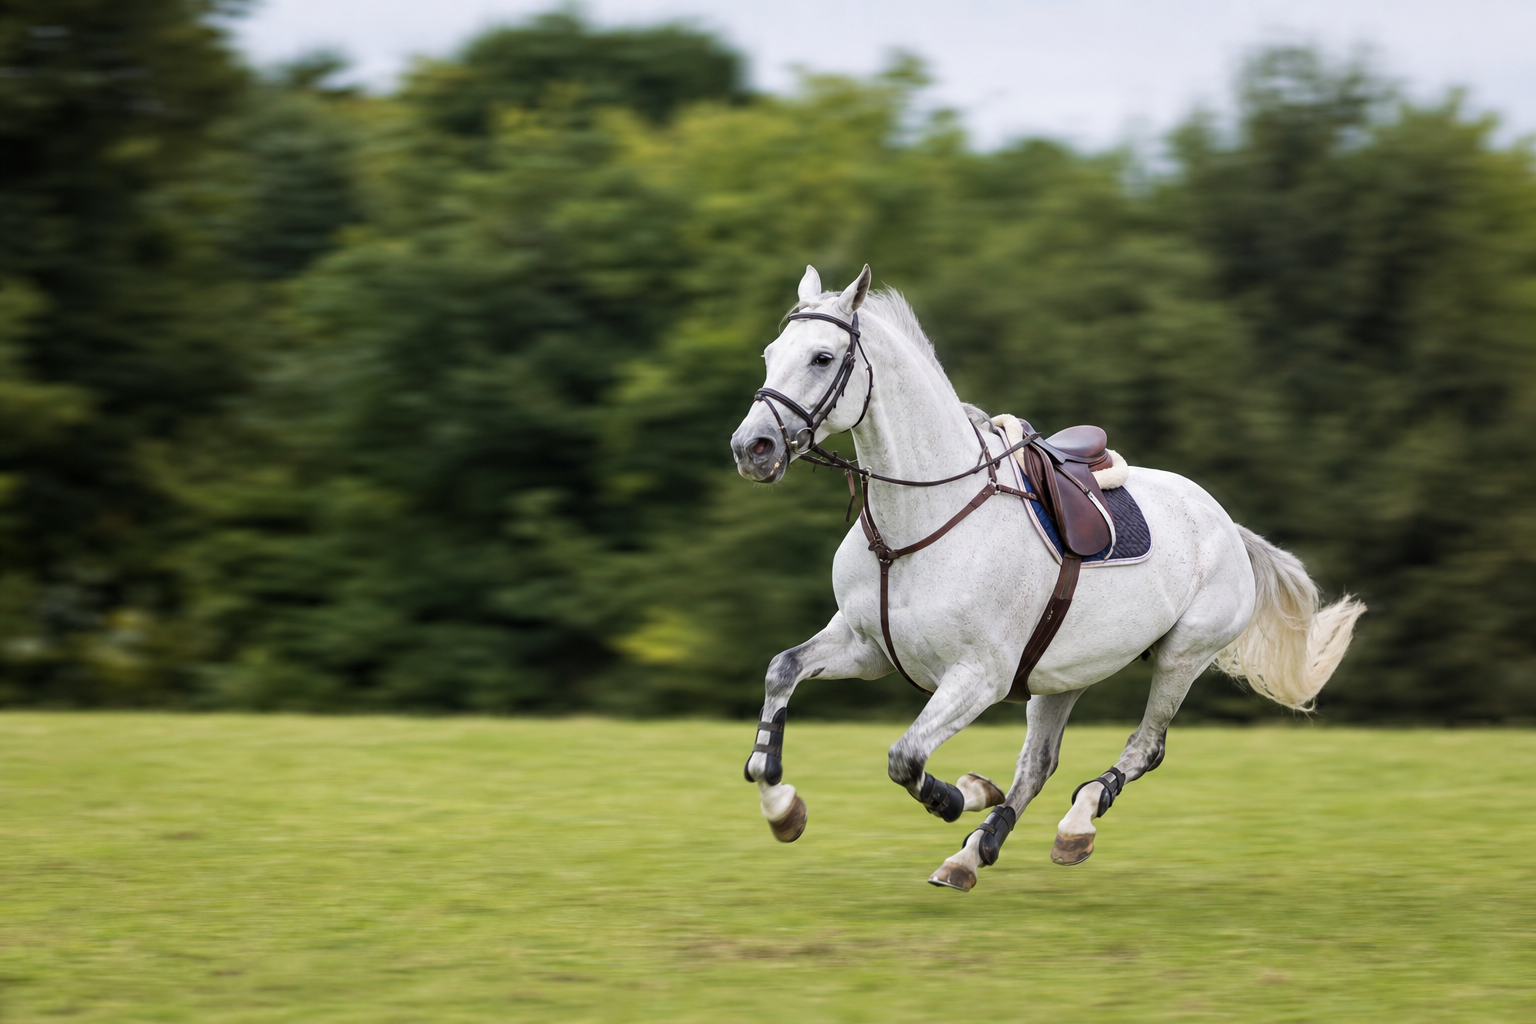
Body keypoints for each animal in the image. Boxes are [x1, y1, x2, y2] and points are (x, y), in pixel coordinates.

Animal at [730, 264, 1365, 892]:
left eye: (822, 358)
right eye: (770, 353)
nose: (751, 448)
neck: (916, 526)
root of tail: (1227, 524)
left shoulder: (978, 676)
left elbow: (905, 758)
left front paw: (957, 796)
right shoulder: (868, 648)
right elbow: (781, 672)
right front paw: (782, 807)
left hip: (1181, 657)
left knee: (1144, 748)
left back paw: (1072, 824)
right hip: (1063, 676)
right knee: (1038, 765)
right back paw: (973, 853)